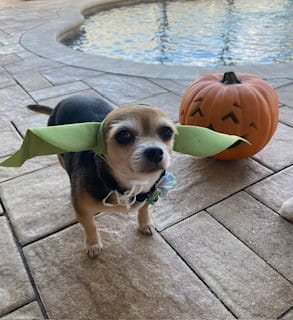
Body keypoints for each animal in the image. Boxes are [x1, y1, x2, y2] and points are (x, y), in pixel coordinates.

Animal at [28, 95, 176, 258]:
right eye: (123, 135)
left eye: (167, 132)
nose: (155, 152)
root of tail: (64, 100)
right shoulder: (83, 211)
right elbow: (90, 226)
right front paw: (93, 244)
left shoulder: (149, 194)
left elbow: (144, 209)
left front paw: (145, 223)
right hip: (60, 156)